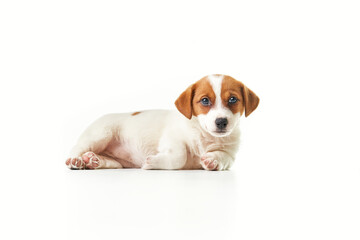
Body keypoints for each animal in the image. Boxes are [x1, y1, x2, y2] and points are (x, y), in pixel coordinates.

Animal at [65, 74, 258, 170]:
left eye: (233, 99)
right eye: (205, 101)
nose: (221, 122)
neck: (204, 136)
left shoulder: (230, 154)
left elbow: (223, 157)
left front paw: (212, 161)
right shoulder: (172, 139)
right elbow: (180, 156)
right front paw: (153, 162)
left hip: (117, 161)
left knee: (112, 163)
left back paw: (94, 160)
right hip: (99, 135)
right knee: (77, 148)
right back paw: (76, 160)